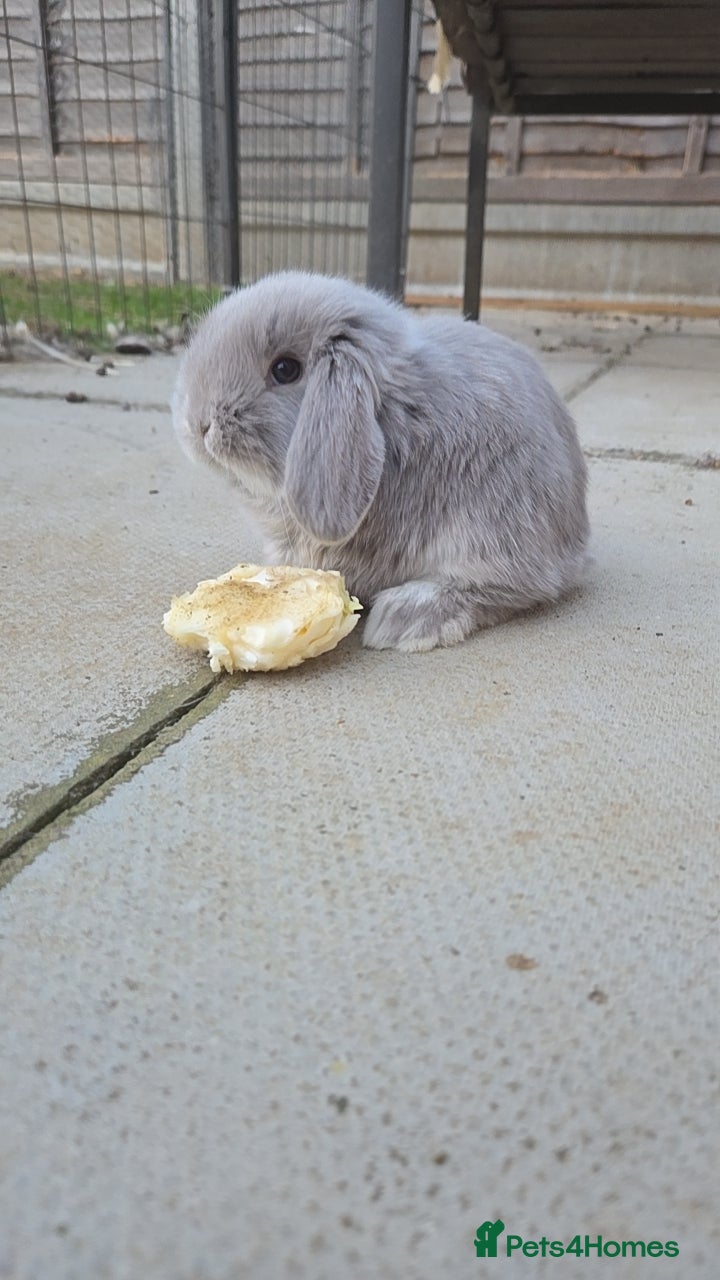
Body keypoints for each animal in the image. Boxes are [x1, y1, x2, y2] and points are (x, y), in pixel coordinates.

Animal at [172, 271, 589, 652]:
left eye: (285, 369)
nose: (198, 423)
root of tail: (575, 540)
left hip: (494, 523)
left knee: (511, 587)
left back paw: (404, 619)